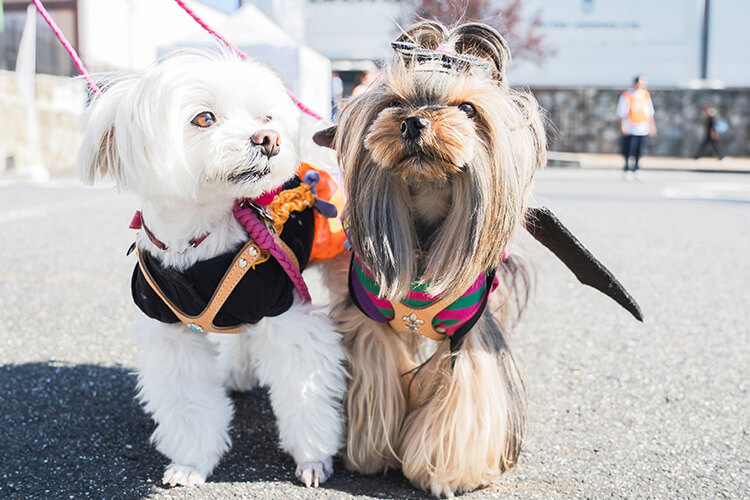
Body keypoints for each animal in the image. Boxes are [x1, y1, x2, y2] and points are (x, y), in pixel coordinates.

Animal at [78, 52, 348, 486]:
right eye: (204, 118)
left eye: (266, 117)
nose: (269, 138)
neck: (195, 238)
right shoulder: (171, 332)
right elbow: (189, 404)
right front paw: (191, 463)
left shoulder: (285, 312)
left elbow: (302, 390)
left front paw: (313, 458)